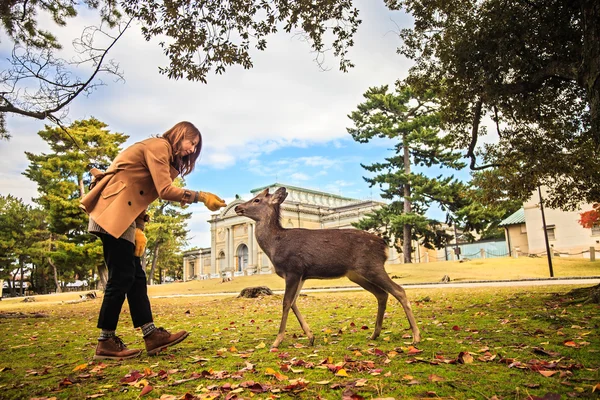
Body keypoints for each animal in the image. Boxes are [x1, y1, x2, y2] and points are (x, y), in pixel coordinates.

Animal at [234, 187, 422, 346]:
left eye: (257, 200)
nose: (237, 208)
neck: (275, 245)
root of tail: (383, 245)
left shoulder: (293, 269)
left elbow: (286, 303)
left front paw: (277, 341)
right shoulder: (302, 275)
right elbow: (294, 302)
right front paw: (310, 336)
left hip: (372, 266)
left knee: (399, 290)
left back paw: (416, 336)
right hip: (357, 274)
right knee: (382, 294)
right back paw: (374, 334)